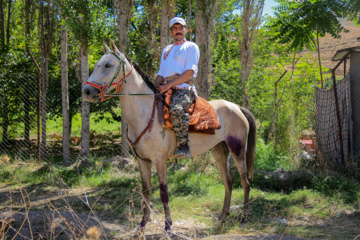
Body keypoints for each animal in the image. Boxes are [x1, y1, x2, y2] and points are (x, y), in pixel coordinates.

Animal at [81, 39, 256, 232]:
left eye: (107, 65)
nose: (87, 91)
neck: (145, 113)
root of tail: (237, 107)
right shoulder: (142, 160)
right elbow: (146, 191)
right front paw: (142, 224)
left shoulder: (159, 159)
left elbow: (163, 192)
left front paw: (167, 225)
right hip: (218, 150)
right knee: (228, 180)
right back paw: (223, 217)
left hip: (237, 149)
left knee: (245, 181)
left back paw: (245, 217)